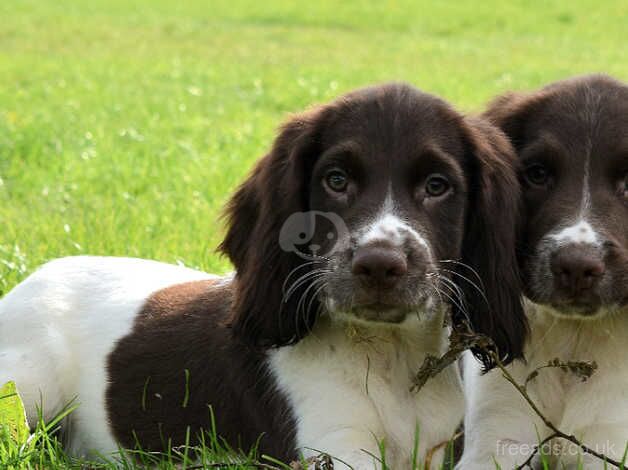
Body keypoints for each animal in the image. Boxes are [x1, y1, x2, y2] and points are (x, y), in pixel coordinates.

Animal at [0, 82, 524, 468]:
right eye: (336, 180)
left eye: (438, 186)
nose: (379, 264)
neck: (389, 357)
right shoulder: (331, 446)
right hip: (31, 389)